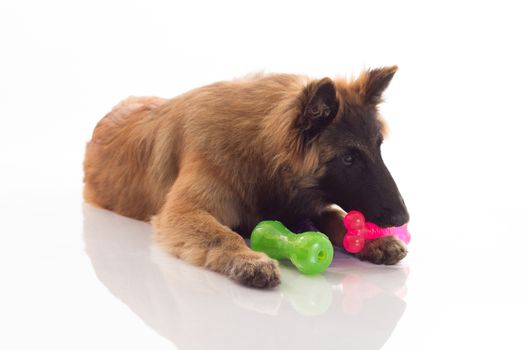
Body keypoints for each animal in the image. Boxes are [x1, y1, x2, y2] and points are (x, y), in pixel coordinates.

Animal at [84, 65, 408, 288]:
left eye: (378, 147)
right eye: (349, 158)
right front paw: (248, 259)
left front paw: (374, 240)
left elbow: (337, 216)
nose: (403, 219)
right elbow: (220, 234)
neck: (259, 148)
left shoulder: (300, 202)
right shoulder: (182, 211)